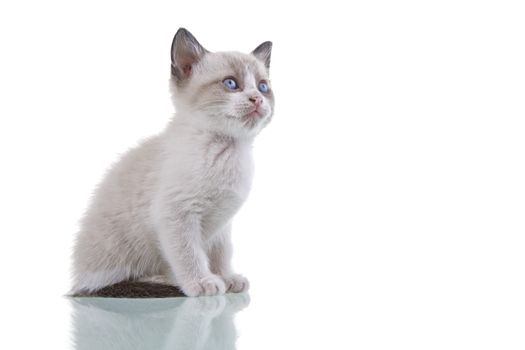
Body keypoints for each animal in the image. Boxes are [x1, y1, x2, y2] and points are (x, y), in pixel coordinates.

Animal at [72, 28, 274, 296]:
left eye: (263, 87)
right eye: (231, 83)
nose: (257, 99)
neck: (227, 151)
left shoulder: (222, 224)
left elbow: (221, 253)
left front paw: (227, 277)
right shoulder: (177, 214)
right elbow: (189, 253)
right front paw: (203, 282)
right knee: (114, 281)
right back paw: (163, 280)